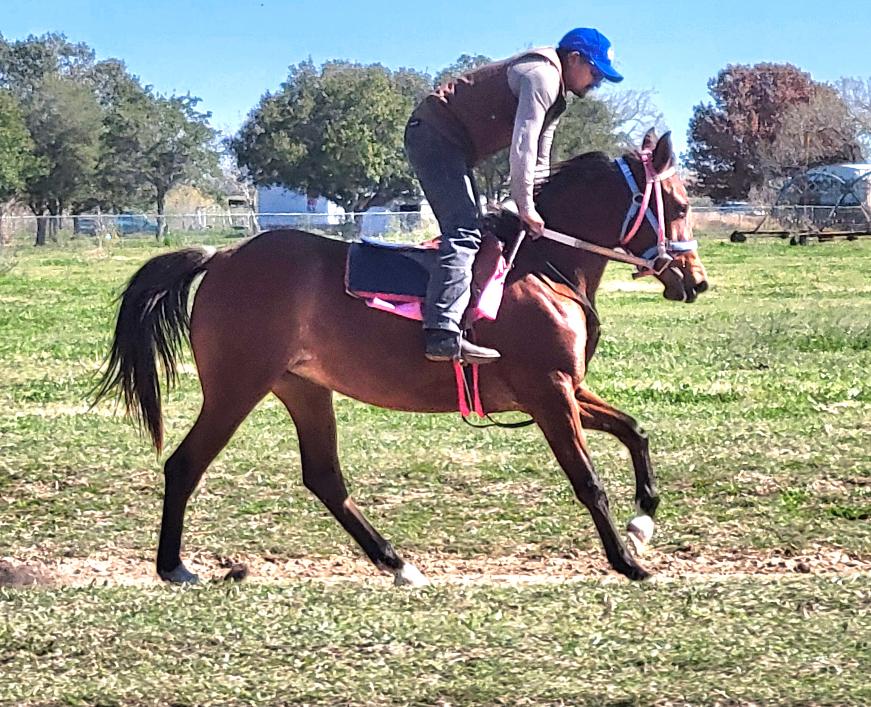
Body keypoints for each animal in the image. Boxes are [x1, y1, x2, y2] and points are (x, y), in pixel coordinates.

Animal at [94, 130, 708, 586]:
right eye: (678, 205)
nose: (696, 281)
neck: (542, 267)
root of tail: (223, 255)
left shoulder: (565, 390)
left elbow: (634, 430)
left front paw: (642, 520)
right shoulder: (550, 393)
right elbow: (587, 480)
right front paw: (627, 561)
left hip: (303, 387)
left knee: (325, 478)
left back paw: (396, 562)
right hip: (236, 387)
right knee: (185, 464)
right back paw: (173, 566)